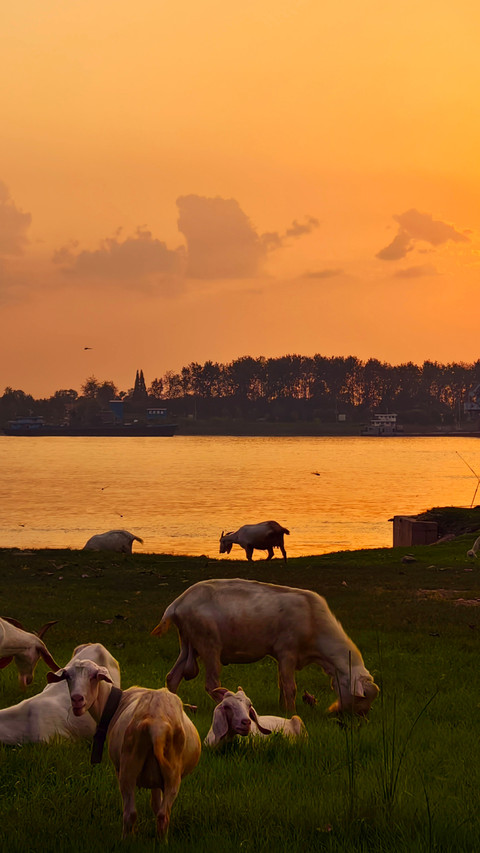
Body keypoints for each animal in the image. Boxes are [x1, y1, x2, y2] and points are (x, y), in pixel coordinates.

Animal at [47, 659, 201, 839]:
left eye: (93, 676)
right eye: (67, 676)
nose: (77, 699)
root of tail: (156, 725)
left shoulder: (118, 768)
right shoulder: (157, 780)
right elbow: (156, 805)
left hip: (127, 768)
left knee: (130, 813)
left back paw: (126, 839)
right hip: (172, 774)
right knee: (163, 815)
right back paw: (161, 841)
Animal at [151, 578, 379, 716]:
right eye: (361, 697)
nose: (359, 718)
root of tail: (177, 604)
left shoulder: (281, 656)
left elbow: (281, 685)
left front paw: (282, 709)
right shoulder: (287, 652)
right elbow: (290, 687)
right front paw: (292, 713)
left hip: (189, 644)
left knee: (173, 677)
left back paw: (179, 707)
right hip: (209, 644)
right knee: (211, 684)